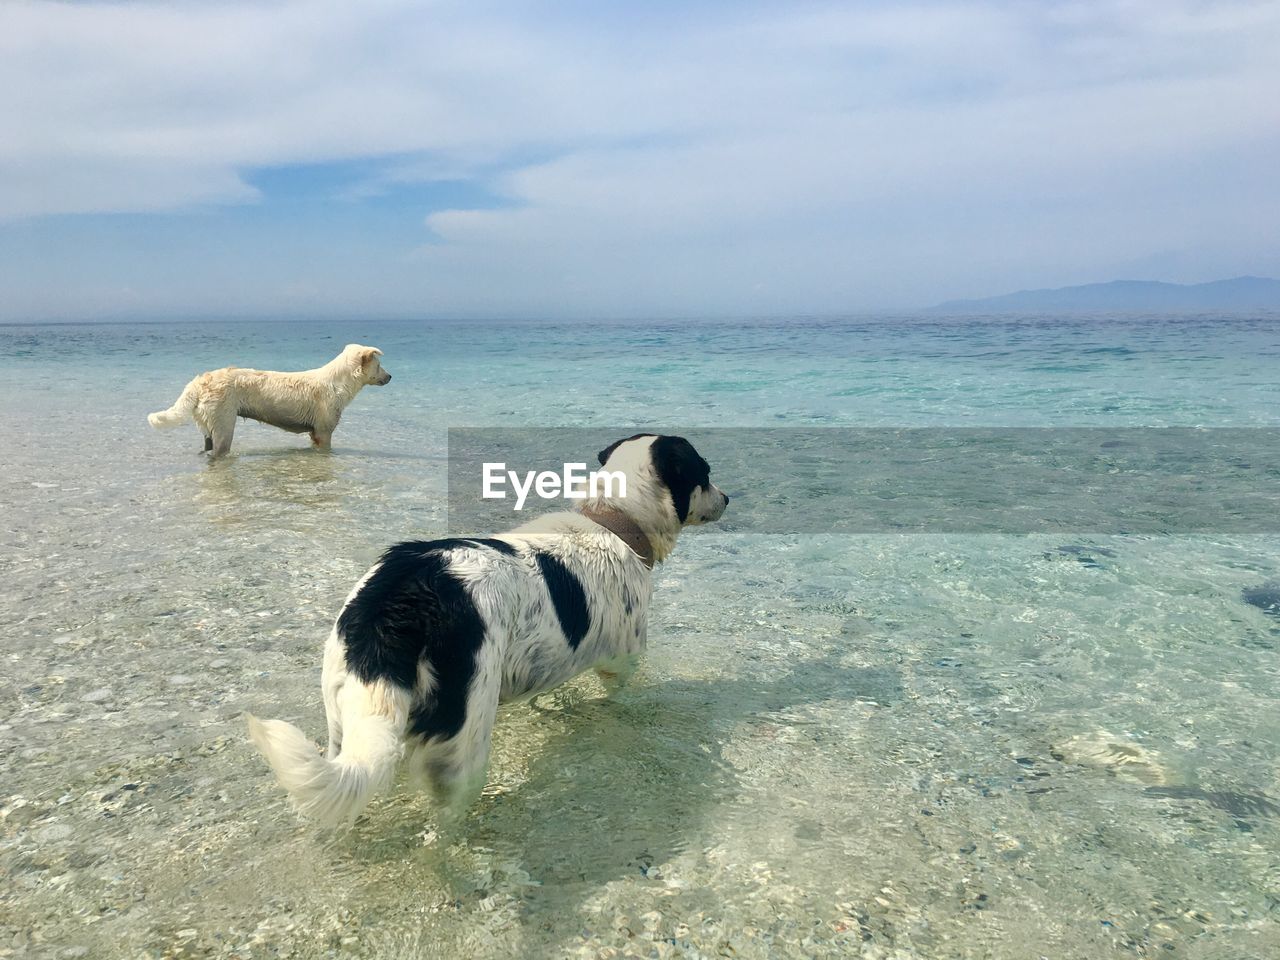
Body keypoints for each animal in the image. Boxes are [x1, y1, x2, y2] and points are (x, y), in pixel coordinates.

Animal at [146, 345, 389, 458]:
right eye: (379, 366)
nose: (390, 377)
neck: (338, 383)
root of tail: (199, 381)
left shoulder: (315, 434)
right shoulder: (323, 432)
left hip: (207, 427)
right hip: (223, 426)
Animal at [247, 435, 732, 829]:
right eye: (705, 472)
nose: (728, 497)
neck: (611, 522)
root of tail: (402, 602)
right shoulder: (622, 662)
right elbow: (618, 695)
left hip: (344, 713)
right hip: (466, 741)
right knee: (445, 820)